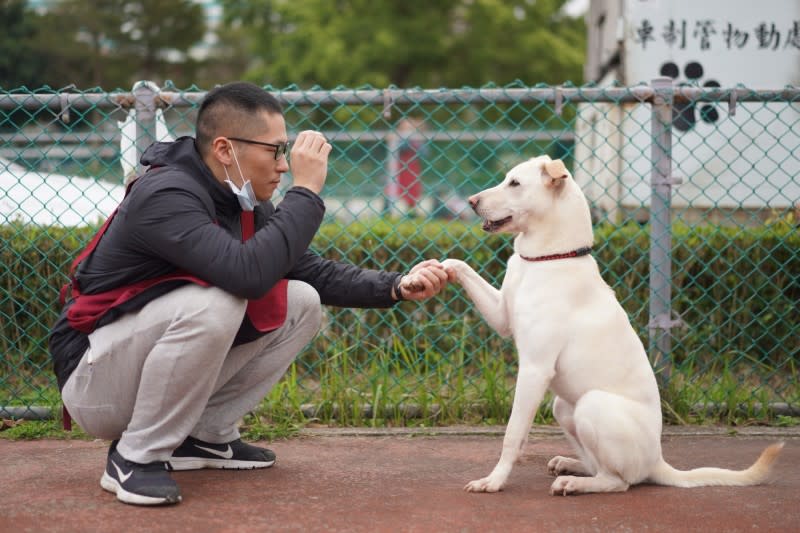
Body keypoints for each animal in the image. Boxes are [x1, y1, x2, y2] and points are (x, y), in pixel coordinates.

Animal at [438, 155, 780, 494]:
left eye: (515, 183)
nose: (471, 201)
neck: (549, 258)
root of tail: (657, 461)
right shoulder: (501, 317)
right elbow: (463, 268)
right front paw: (440, 268)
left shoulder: (535, 369)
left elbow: (512, 435)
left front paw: (494, 481)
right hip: (564, 407)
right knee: (600, 466)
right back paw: (571, 465)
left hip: (592, 404)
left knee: (619, 482)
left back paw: (575, 482)